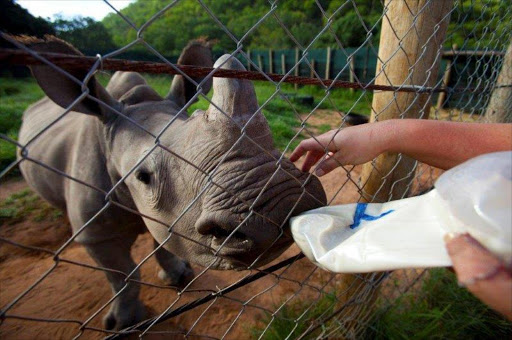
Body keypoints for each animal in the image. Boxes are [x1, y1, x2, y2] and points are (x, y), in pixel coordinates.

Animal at [17, 36, 328, 330]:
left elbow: (163, 241)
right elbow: (123, 276)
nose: (284, 202)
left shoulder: (165, 214)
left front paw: (179, 276)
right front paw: (122, 323)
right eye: (143, 177)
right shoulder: (96, 234)